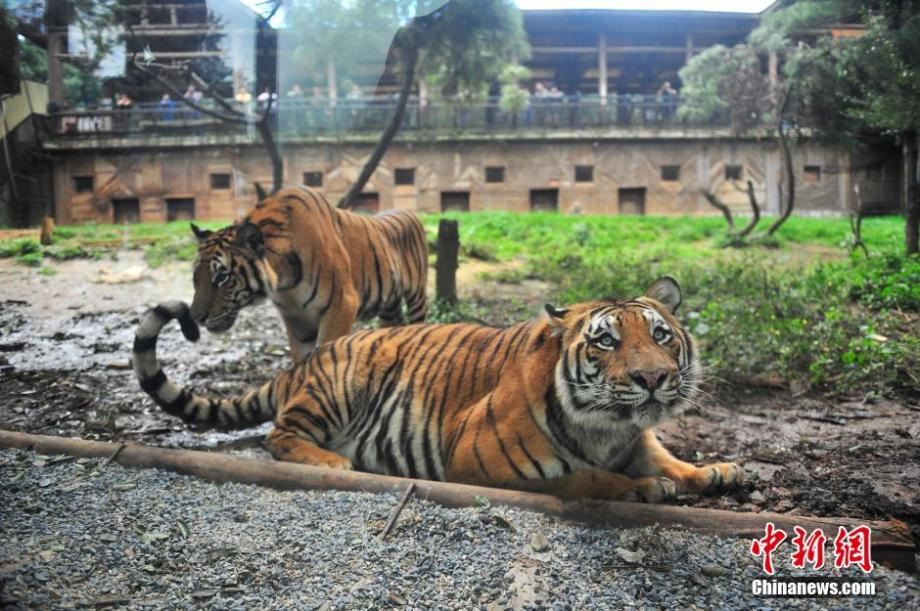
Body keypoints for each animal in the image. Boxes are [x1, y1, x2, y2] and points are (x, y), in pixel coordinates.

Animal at [133, 278, 744, 502]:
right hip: (344, 383)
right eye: (606, 342)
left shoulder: (636, 440)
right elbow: (584, 478)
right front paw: (642, 490)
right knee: (278, 435)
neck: (609, 429)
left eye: (660, 335)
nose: (653, 378)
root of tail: (299, 367)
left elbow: (666, 456)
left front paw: (716, 472)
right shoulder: (476, 459)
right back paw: (331, 462)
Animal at [190, 184, 432, 360]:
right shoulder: (296, 318)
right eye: (195, 277)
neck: (284, 285)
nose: (196, 318)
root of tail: (411, 213)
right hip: (389, 306)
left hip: (417, 298)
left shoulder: (342, 306)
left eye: (222, 277)